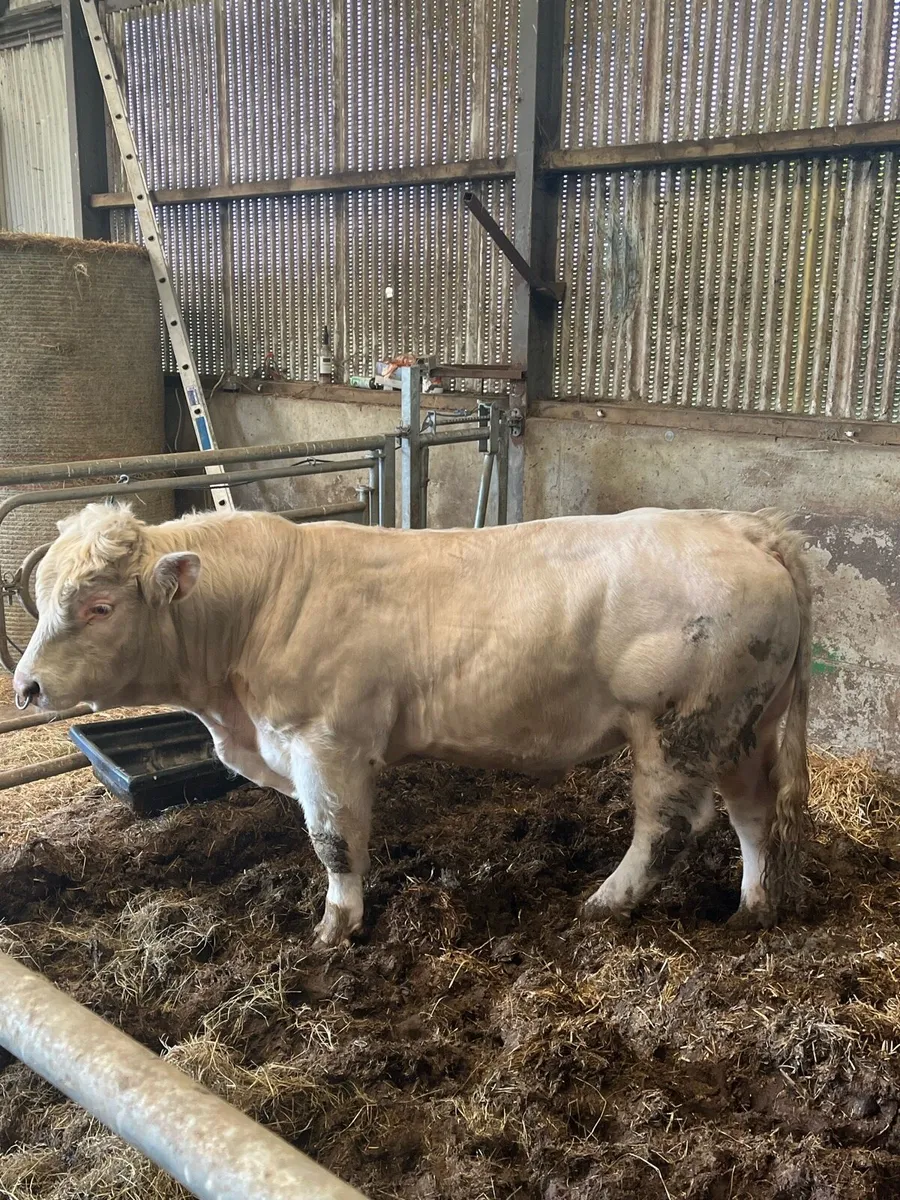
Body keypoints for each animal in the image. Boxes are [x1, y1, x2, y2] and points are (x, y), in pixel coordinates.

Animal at [13, 503, 811, 946]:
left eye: (100, 607)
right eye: (44, 598)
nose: (25, 686)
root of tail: (741, 526)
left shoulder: (326, 744)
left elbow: (334, 842)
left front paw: (335, 928)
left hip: (679, 727)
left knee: (667, 827)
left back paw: (604, 905)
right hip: (742, 725)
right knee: (753, 813)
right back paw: (752, 909)